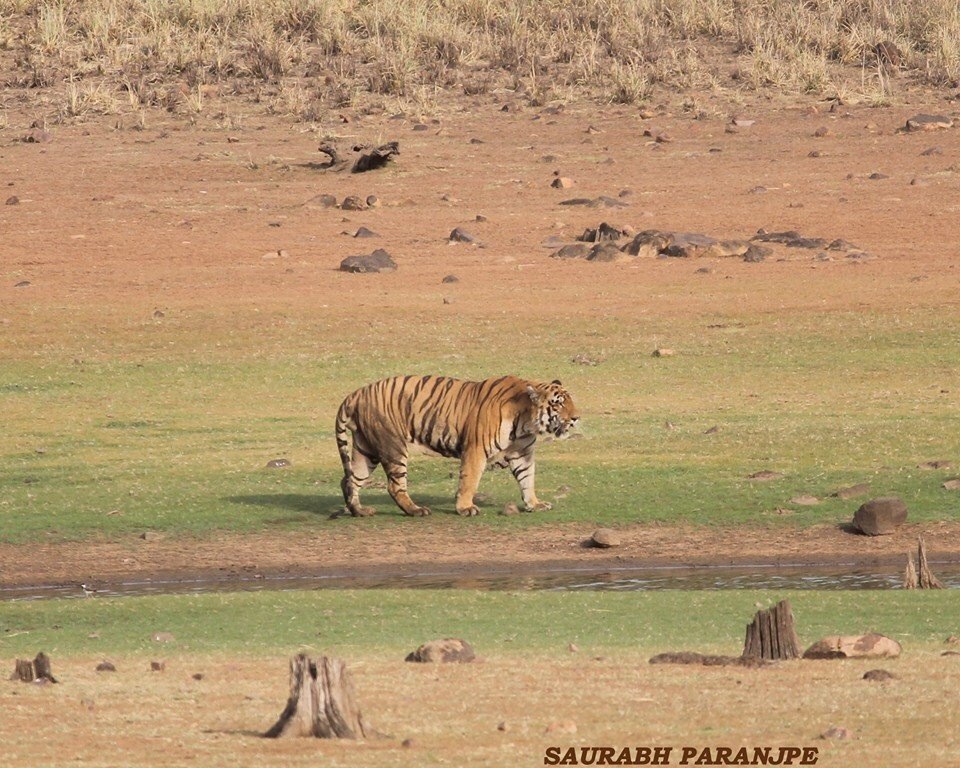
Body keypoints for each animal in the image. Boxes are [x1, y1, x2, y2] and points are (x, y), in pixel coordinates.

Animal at [334, 375, 579, 517]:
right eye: (558, 403)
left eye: (570, 400)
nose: (576, 418)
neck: (526, 422)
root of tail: (355, 394)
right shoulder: (475, 449)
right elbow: (469, 481)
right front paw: (465, 508)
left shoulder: (523, 453)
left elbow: (527, 479)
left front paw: (534, 504)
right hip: (392, 446)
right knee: (394, 486)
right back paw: (416, 510)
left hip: (366, 450)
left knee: (350, 480)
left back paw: (360, 511)